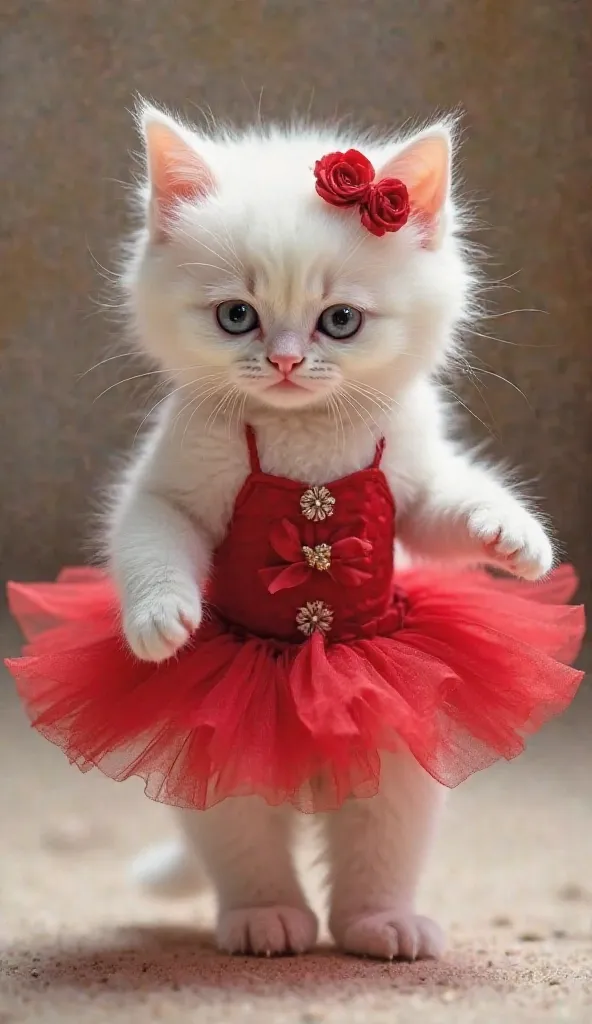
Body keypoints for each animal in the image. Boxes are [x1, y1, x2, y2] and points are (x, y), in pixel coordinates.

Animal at [116, 103, 553, 958]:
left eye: (340, 321)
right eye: (237, 316)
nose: (286, 361)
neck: (306, 434)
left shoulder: (413, 474)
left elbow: (447, 506)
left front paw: (512, 534)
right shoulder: (168, 486)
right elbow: (151, 532)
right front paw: (162, 617)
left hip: (399, 749)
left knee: (379, 832)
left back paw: (380, 925)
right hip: (225, 749)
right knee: (243, 832)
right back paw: (266, 920)